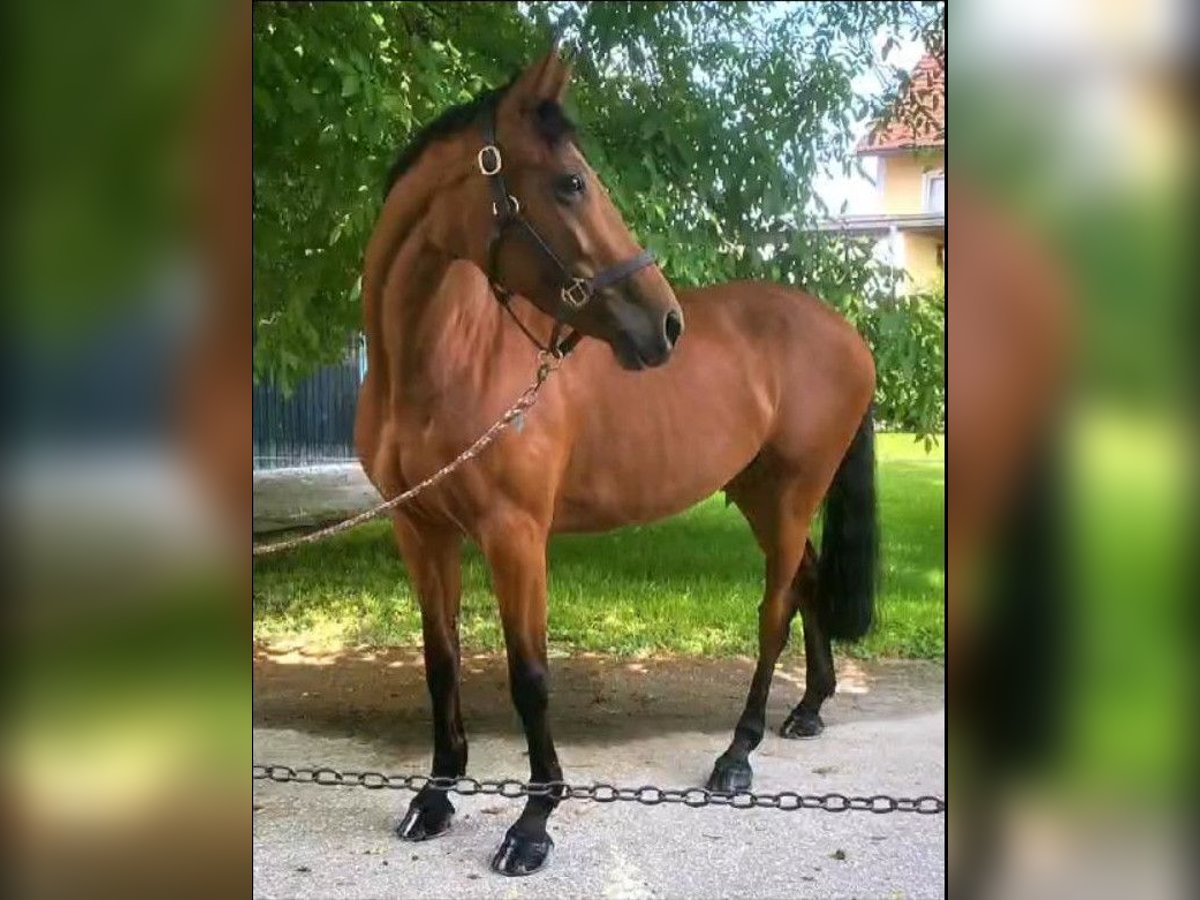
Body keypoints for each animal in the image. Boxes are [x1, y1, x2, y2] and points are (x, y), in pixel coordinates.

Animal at [350, 47, 878, 873]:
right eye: (571, 182)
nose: (665, 324)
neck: (445, 364)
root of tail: (850, 334)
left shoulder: (515, 536)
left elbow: (530, 676)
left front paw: (532, 824)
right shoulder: (421, 529)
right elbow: (440, 661)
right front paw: (434, 798)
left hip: (794, 494)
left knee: (775, 611)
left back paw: (738, 755)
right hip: (759, 491)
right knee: (809, 582)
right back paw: (809, 709)